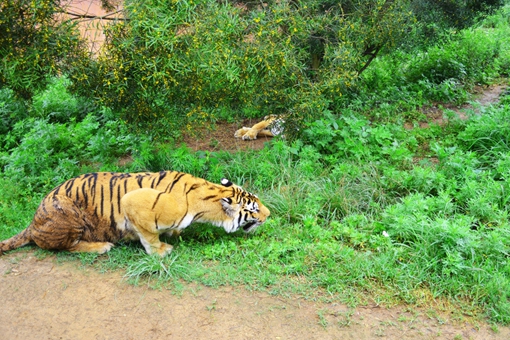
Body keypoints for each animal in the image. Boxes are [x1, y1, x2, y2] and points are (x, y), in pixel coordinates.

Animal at [0, 171, 270, 256]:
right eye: (254, 209)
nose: (269, 215)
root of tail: (32, 222)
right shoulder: (132, 201)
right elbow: (149, 235)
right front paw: (160, 251)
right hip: (68, 215)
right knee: (65, 247)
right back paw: (100, 246)